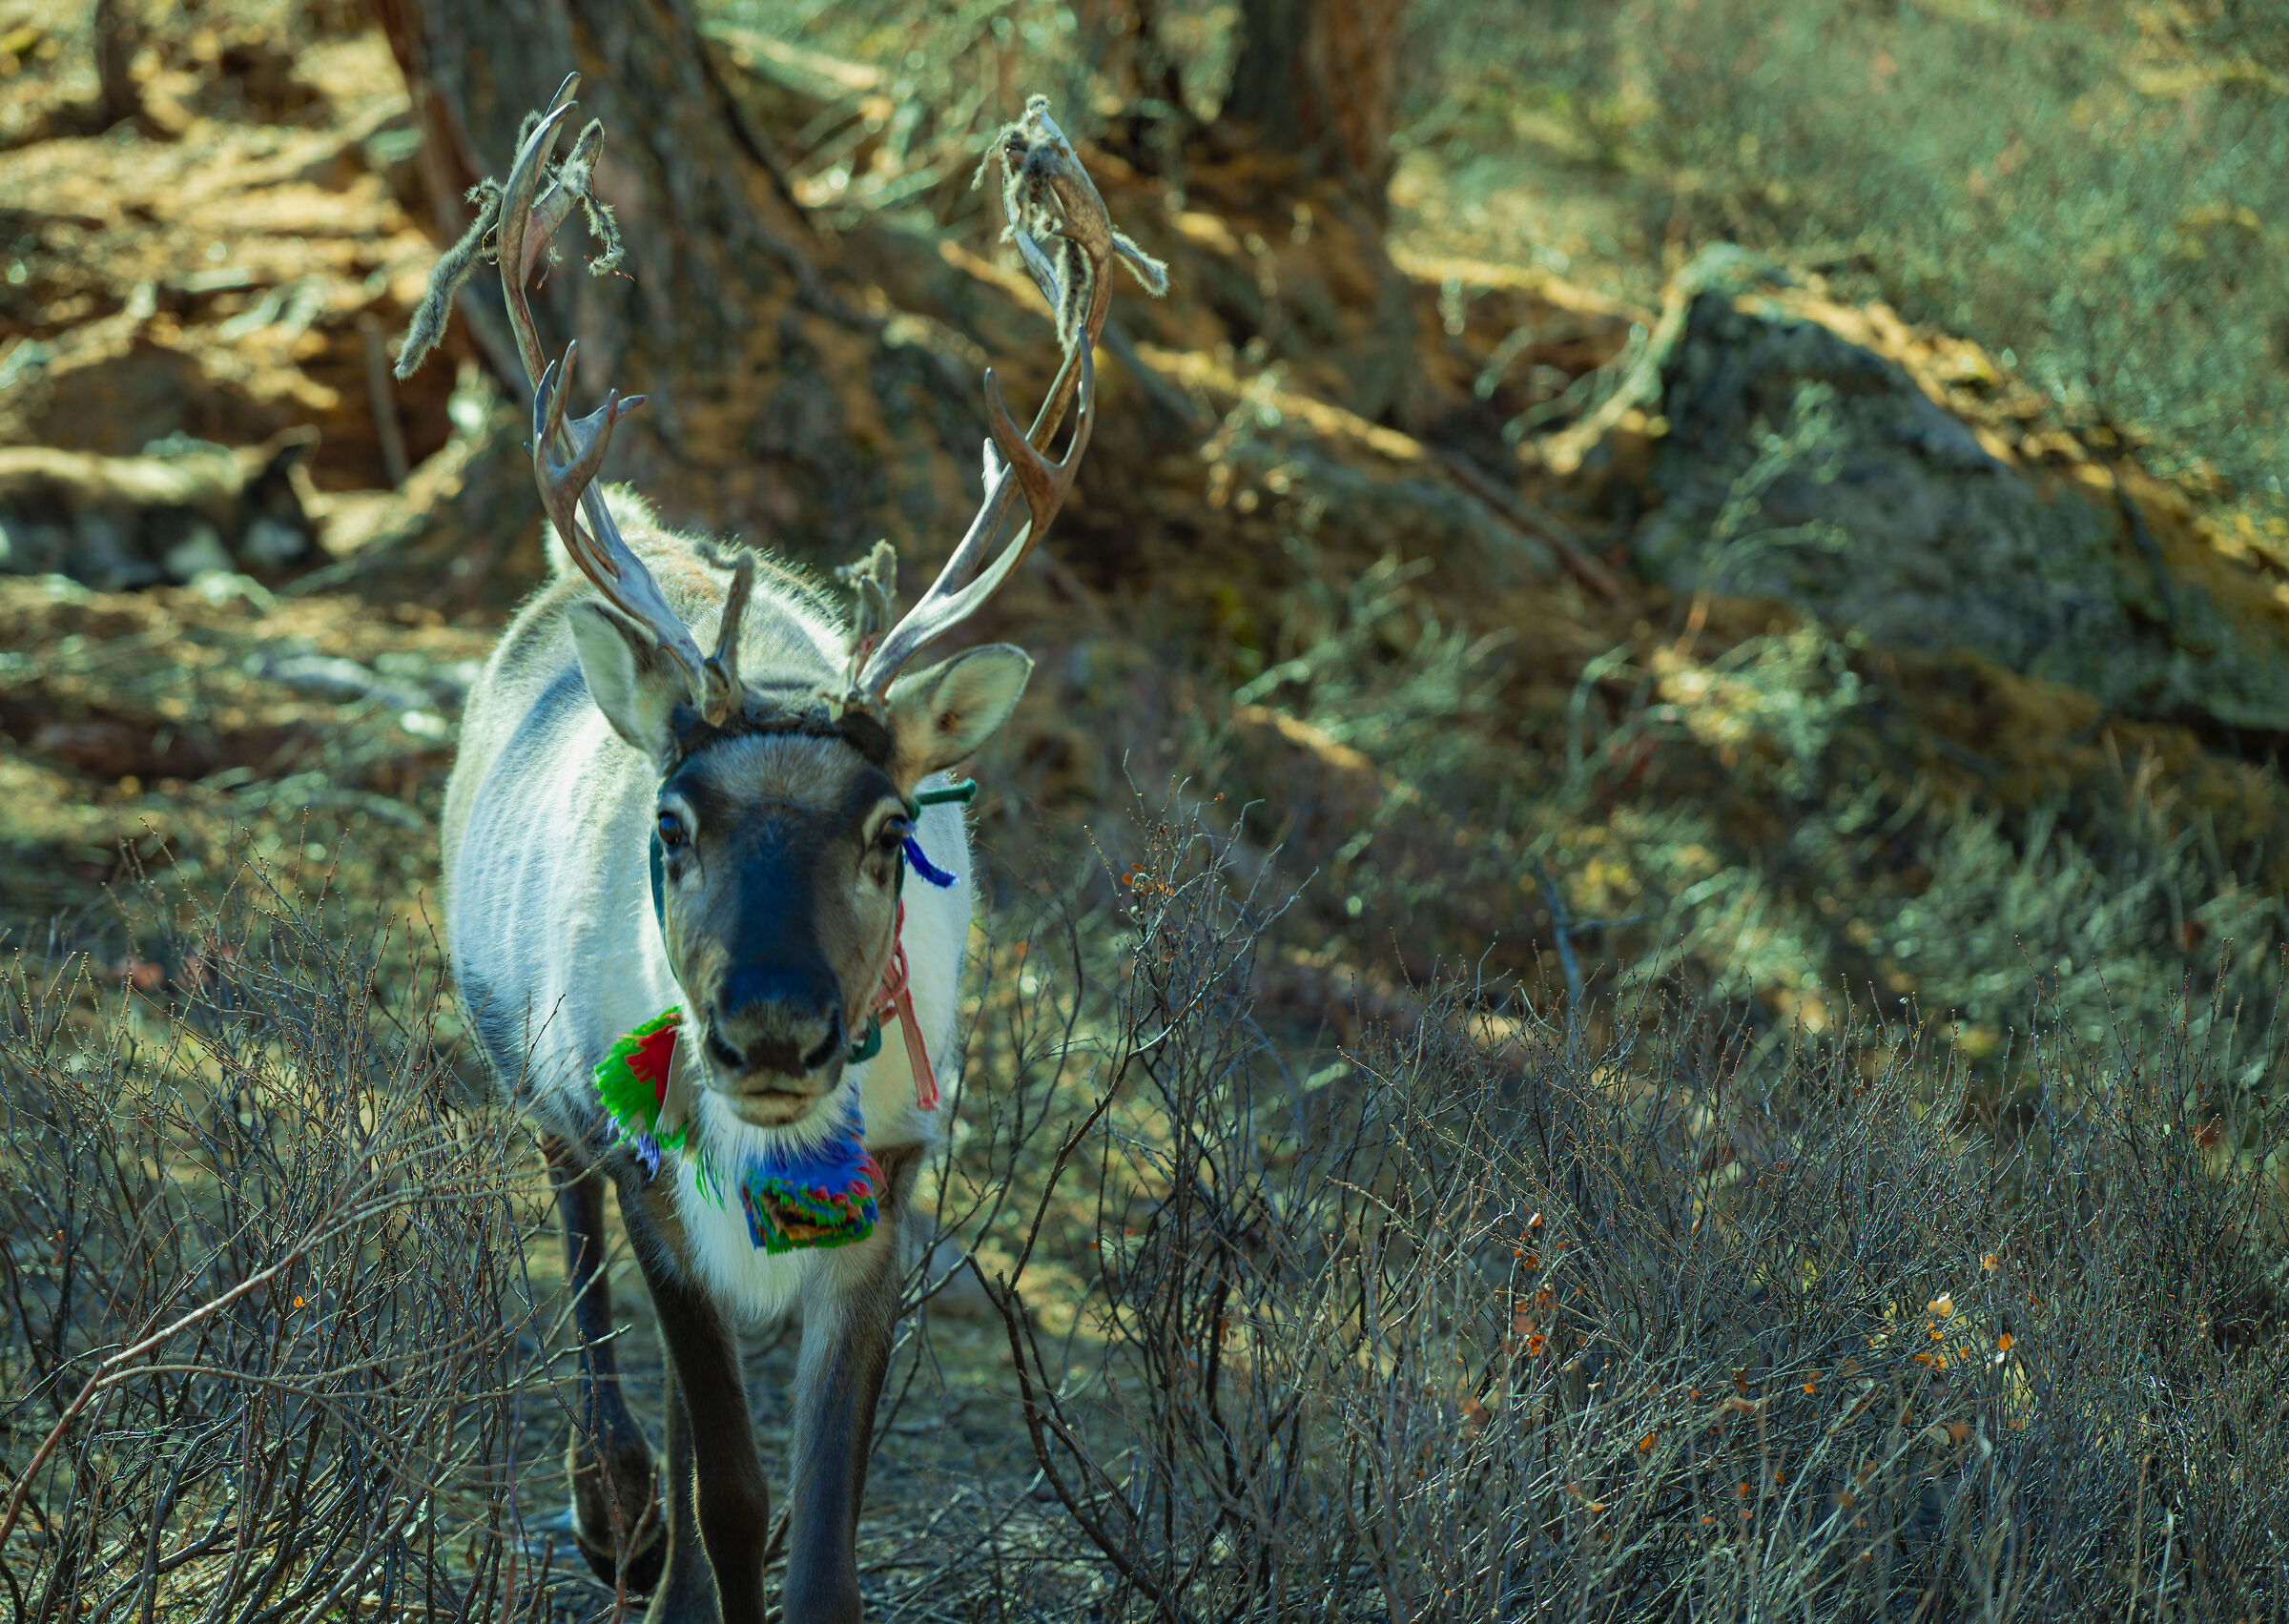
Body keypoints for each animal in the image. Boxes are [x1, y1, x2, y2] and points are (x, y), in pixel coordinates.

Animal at [407, 77, 1164, 1624]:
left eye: (889, 829)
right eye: (673, 822)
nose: (767, 1030)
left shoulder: (893, 1197)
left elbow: (821, 1521)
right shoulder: (649, 1177)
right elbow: (738, 1490)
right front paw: (672, 1545)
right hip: (547, 1092)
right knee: (599, 1306)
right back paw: (619, 1521)